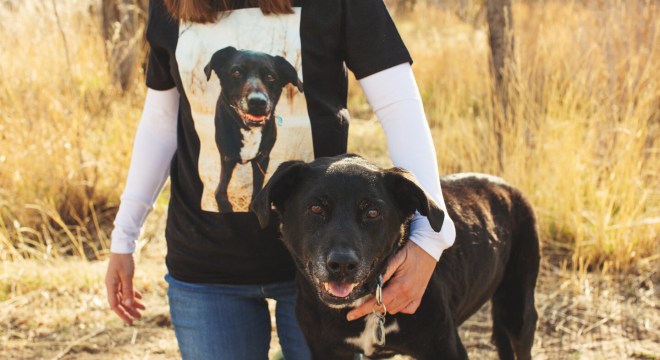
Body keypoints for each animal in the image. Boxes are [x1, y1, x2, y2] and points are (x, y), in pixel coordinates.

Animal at [205, 46, 302, 212]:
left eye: (270, 76)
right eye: (236, 72)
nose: (257, 102)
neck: (248, 129)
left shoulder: (262, 159)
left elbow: (258, 191)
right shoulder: (227, 158)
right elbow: (220, 192)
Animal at [250, 155, 540, 360]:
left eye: (372, 213)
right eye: (315, 208)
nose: (342, 265)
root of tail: (509, 187)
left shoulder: (446, 349)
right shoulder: (326, 352)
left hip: (517, 309)